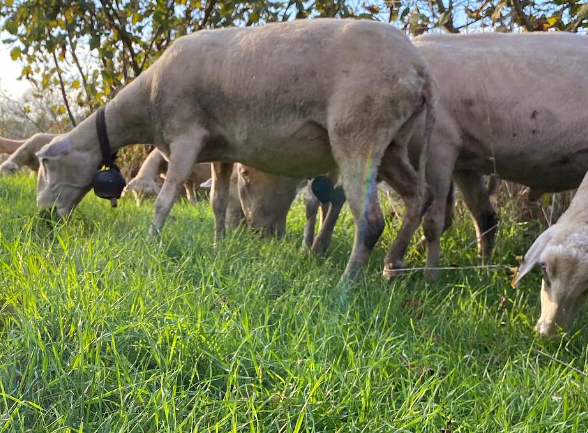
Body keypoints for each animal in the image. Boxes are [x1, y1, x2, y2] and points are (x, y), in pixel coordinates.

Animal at [33, 18, 436, 278]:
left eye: (46, 165)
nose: (43, 217)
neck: (145, 101)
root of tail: (419, 68)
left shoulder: (185, 136)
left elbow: (165, 199)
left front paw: (151, 243)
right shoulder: (221, 153)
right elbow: (217, 203)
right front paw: (218, 246)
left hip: (359, 133)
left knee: (371, 220)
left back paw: (348, 284)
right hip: (393, 145)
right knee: (420, 197)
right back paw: (392, 265)